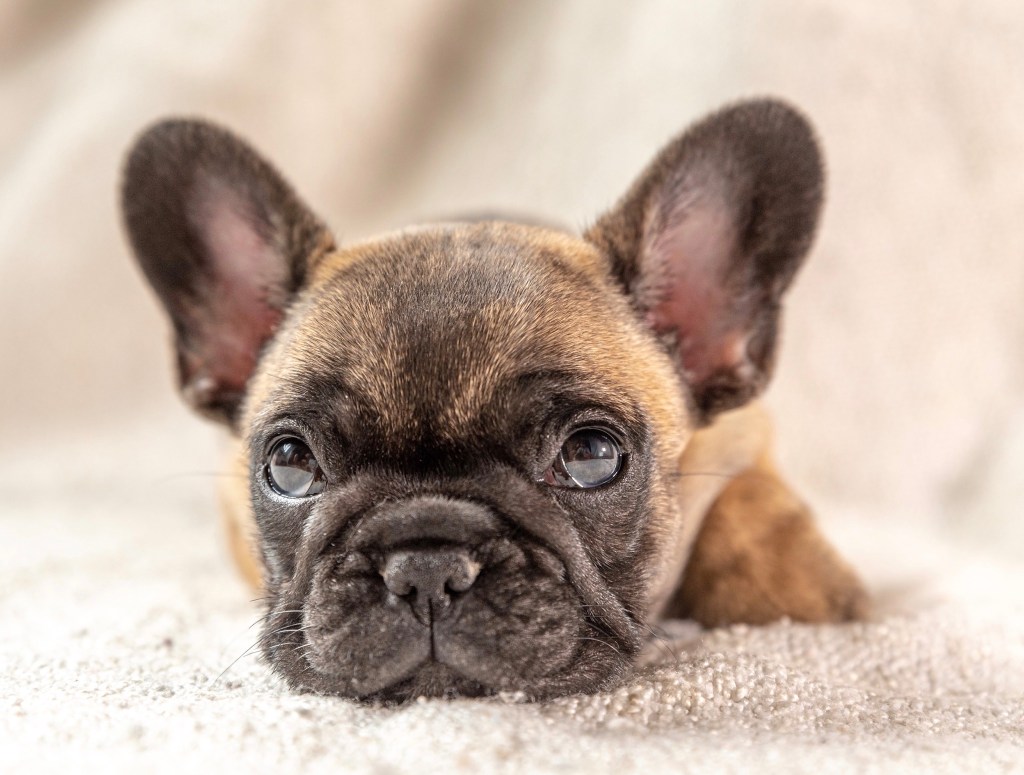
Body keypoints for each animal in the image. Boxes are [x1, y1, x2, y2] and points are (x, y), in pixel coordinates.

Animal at [123, 96, 868, 700]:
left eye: (592, 456)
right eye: (290, 464)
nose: (425, 566)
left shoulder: (748, 433)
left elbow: (753, 510)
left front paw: (798, 585)